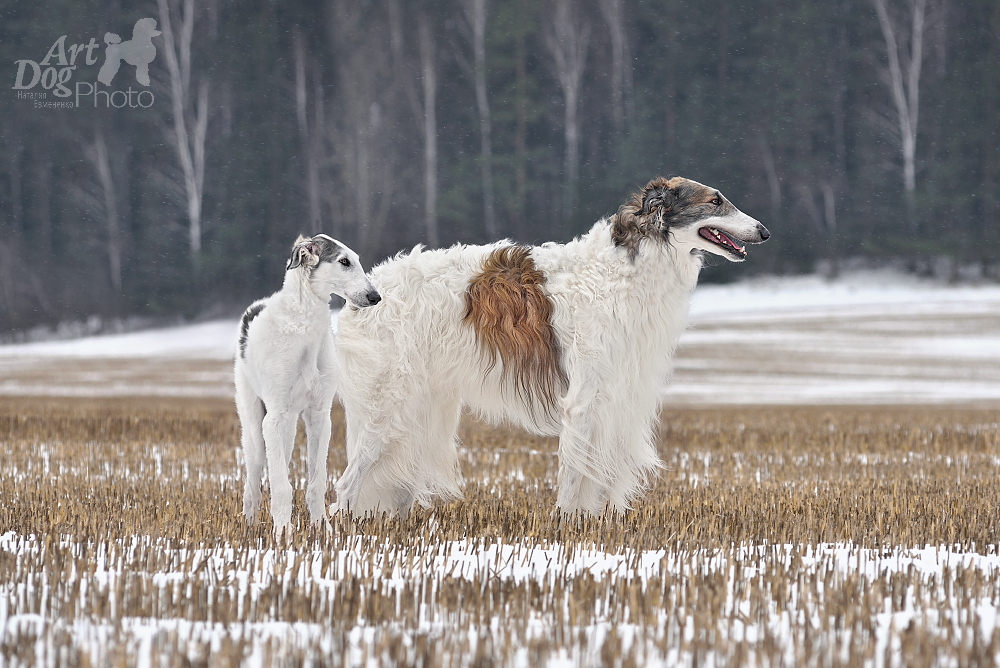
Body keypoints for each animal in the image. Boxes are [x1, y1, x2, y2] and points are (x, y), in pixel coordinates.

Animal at [236, 235, 380, 536]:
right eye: (344, 261)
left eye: (356, 260)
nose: (375, 297)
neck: (302, 329)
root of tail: (255, 308)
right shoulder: (274, 416)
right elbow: (281, 486)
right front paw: (283, 531)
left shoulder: (319, 415)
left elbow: (316, 482)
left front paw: (321, 527)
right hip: (255, 425)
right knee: (252, 484)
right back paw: (249, 524)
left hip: (289, 426)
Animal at [332, 176, 768, 516]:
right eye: (715, 200)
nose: (764, 231)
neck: (626, 267)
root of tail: (365, 292)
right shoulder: (584, 398)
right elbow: (575, 475)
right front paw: (567, 525)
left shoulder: (619, 396)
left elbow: (601, 478)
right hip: (386, 408)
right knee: (345, 484)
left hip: (417, 413)